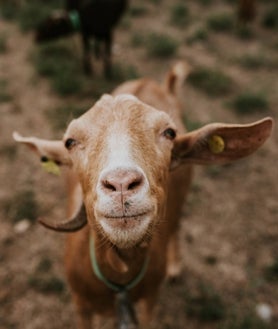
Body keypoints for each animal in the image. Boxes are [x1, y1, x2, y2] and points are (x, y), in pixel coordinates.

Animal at [12, 62, 272, 326]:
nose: (121, 183)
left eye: (169, 133)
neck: (120, 280)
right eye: (70, 142)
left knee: (177, 224)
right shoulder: (80, 304)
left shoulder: (151, 297)